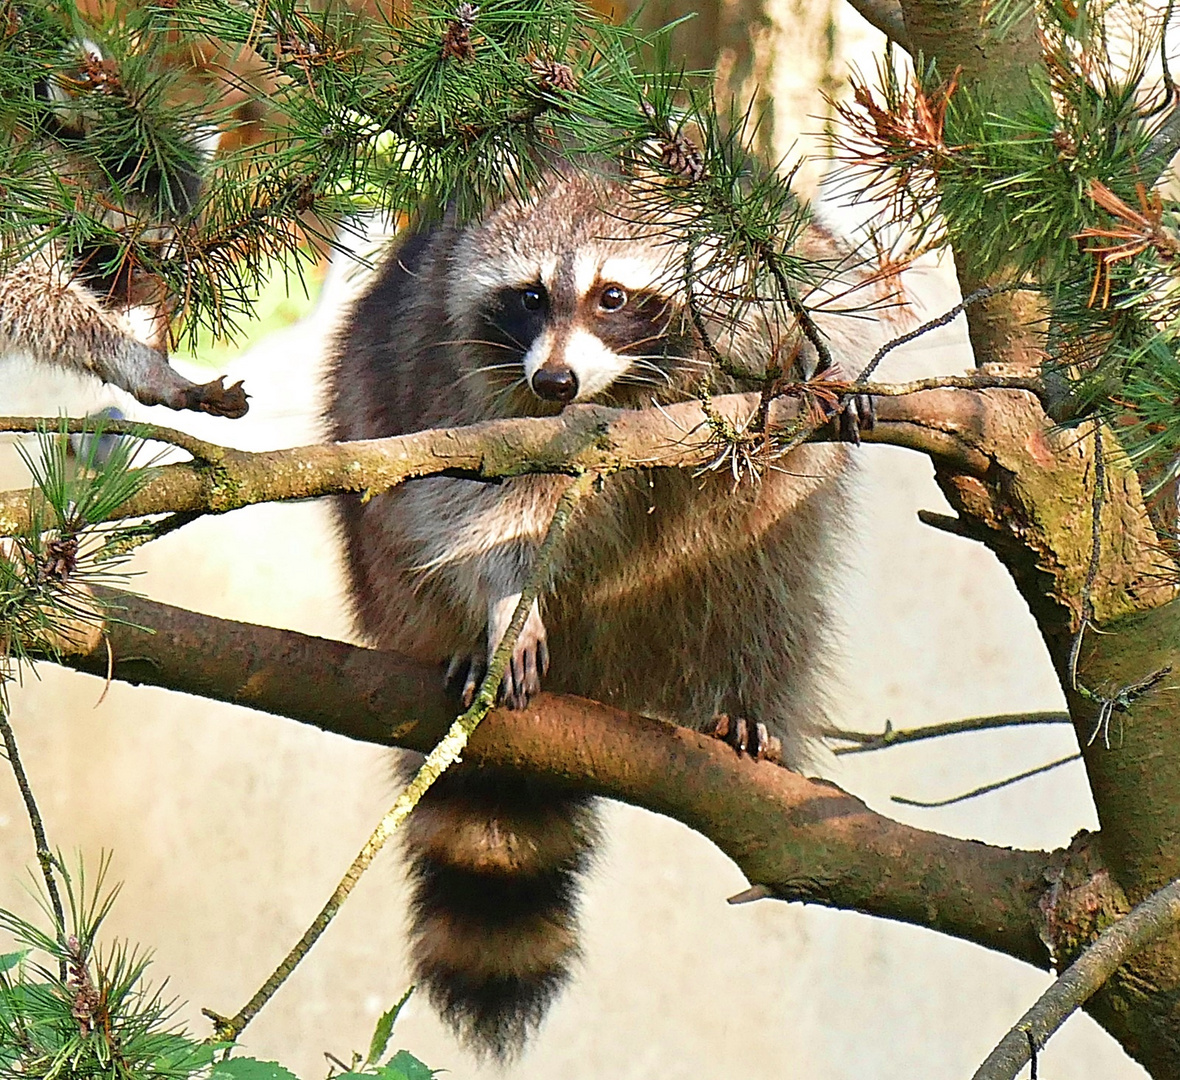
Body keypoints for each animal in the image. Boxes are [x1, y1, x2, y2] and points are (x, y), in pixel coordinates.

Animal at [328, 168, 882, 1057]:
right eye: (527, 297)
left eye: (611, 296)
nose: (555, 383)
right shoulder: (447, 364)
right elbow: (467, 492)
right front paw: (504, 602)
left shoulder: (768, 241)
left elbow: (838, 301)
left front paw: (818, 359)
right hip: (377, 562)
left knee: (769, 579)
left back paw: (748, 698)